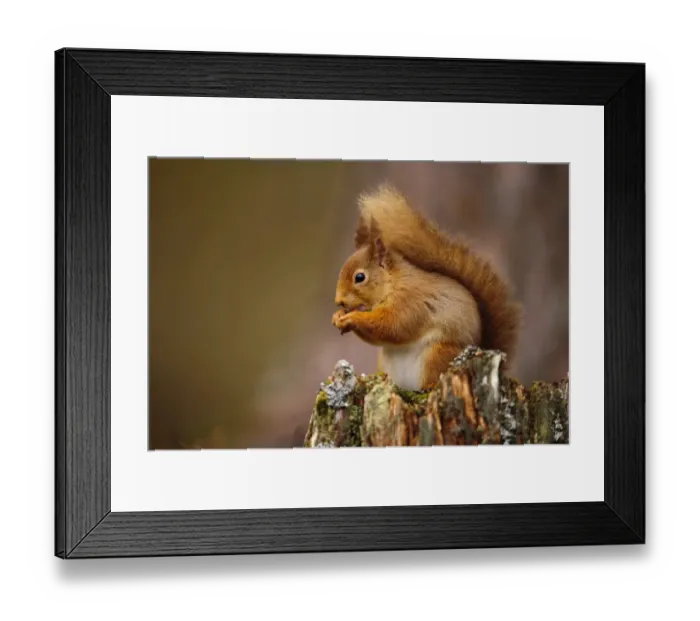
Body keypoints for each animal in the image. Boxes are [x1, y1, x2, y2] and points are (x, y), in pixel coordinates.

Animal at [331, 183, 522, 391]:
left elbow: (391, 326)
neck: (392, 283)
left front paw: (352, 318)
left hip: (438, 354)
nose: (339, 301)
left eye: (360, 277)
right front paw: (338, 316)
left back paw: (429, 387)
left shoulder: (410, 302)